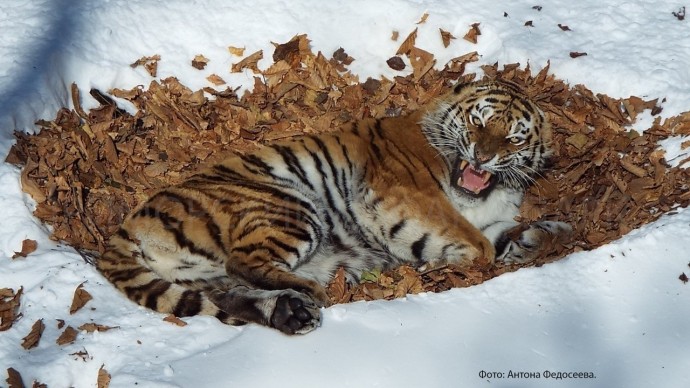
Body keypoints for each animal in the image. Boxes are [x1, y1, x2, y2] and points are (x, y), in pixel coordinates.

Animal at [97, 79, 568, 334]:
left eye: (514, 137)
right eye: (478, 121)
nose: (484, 155)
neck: (481, 191)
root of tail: (129, 224)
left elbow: (505, 235)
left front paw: (550, 235)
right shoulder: (407, 194)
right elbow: (478, 248)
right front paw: (441, 267)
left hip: (209, 275)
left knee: (230, 292)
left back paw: (291, 312)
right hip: (289, 204)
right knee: (243, 262)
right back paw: (313, 293)